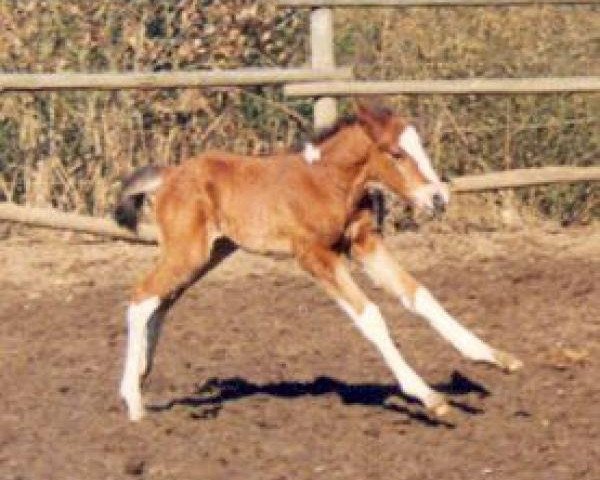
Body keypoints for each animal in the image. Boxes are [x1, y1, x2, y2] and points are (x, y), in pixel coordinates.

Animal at [116, 104, 520, 420]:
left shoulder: (365, 244)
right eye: (396, 154)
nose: (438, 198)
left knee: (161, 302)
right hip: (188, 252)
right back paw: (133, 402)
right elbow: (371, 315)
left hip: (208, 254)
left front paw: (495, 357)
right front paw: (429, 397)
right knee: (140, 297)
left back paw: (142, 376)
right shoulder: (316, 256)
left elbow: (419, 295)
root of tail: (169, 175)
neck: (330, 182)